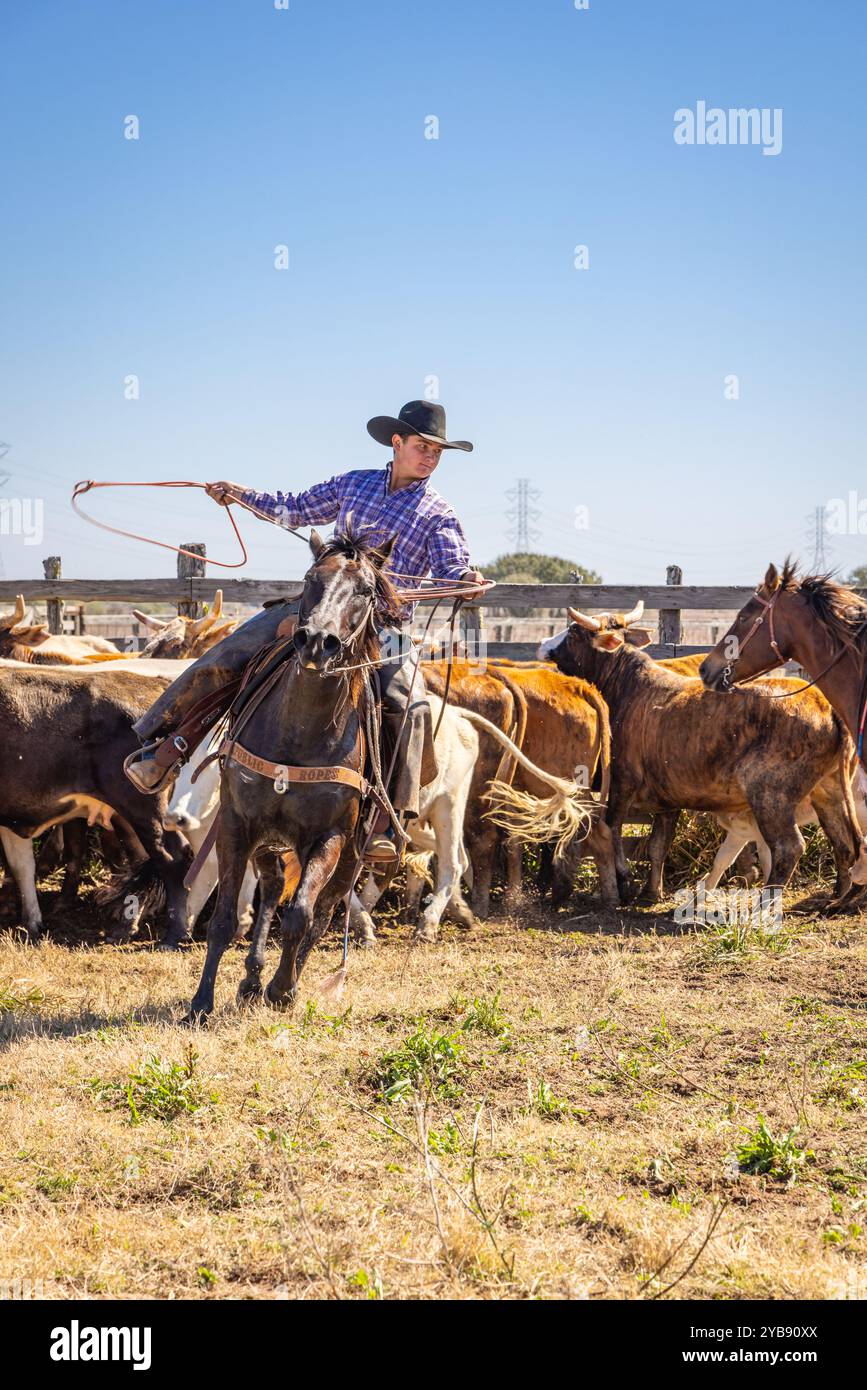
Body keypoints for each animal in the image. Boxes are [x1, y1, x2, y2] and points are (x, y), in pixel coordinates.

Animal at [184, 530, 400, 1023]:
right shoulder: (236, 824)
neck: (299, 730)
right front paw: (201, 1002)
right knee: (270, 891)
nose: (317, 641)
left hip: (352, 857)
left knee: (321, 913)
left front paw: (283, 990)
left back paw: (286, 982)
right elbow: (224, 918)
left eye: (365, 590)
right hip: (269, 843)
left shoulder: (331, 836)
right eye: (309, 578)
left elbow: (301, 914)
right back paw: (250, 979)